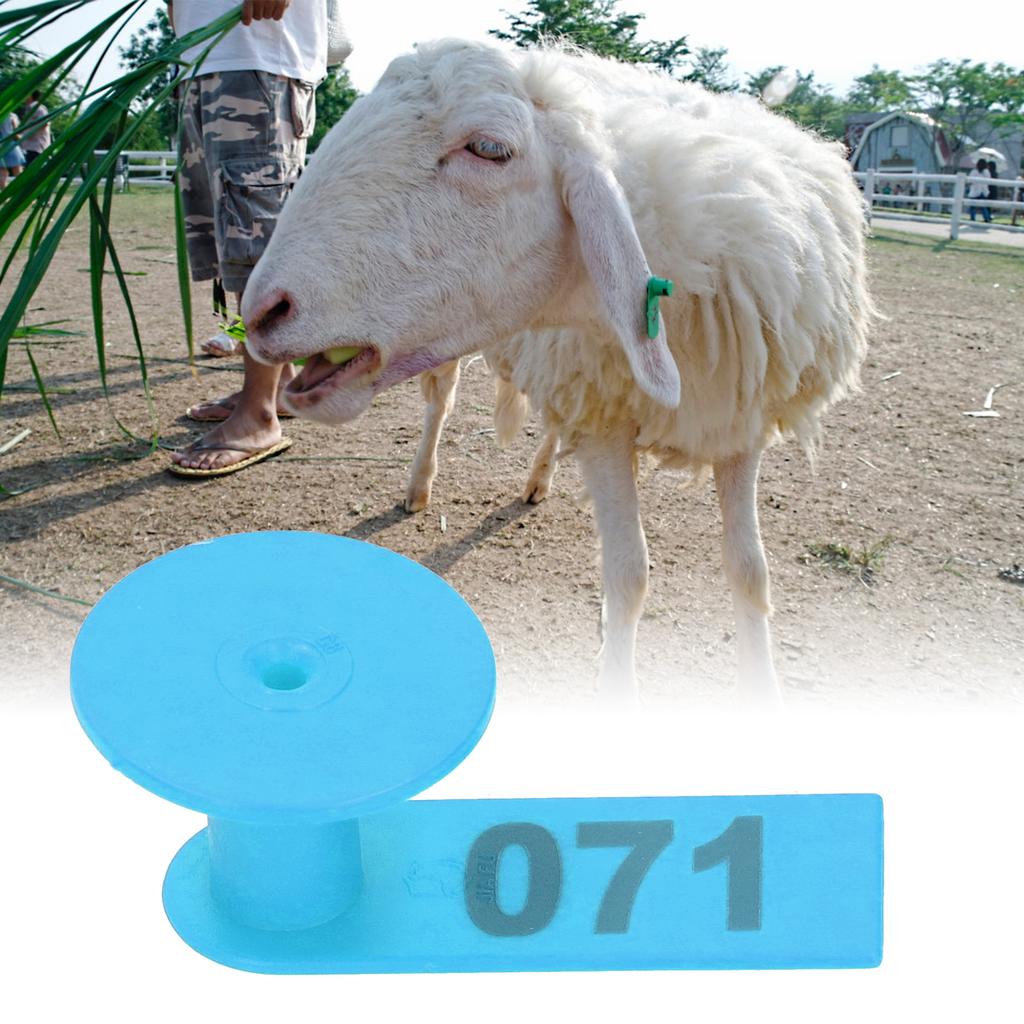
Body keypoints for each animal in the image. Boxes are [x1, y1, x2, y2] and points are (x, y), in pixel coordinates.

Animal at [240, 40, 873, 702]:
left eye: (489, 148)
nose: (262, 310)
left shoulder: (737, 423)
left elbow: (751, 572)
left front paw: (763, 690)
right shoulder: (608, 428)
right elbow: (629, 578)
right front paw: (618, 694)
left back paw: (537, 480)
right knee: (441, 404)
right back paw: (419, 486)